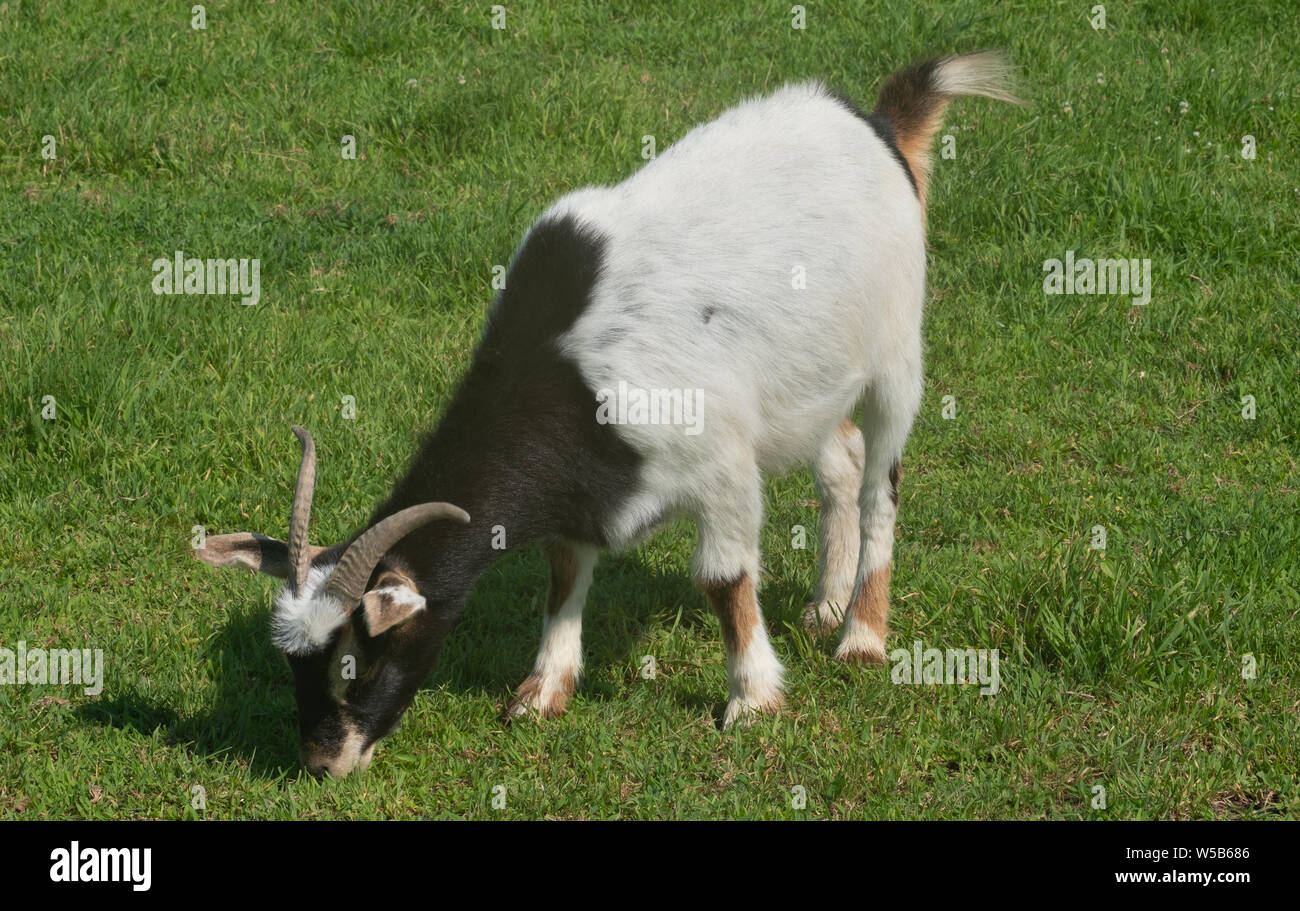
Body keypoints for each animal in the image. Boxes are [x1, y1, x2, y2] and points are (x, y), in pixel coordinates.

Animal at [194, 51, 1019, 777]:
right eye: (293, 665)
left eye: (356, 661)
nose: (322, 762)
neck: (568, 375)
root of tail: (878, 124)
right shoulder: (584, 489)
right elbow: (565, 573)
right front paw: (542, 692)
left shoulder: (720, 464)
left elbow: (724, 580)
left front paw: (752, 700)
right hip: (809, 382)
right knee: (841, 457)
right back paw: (823, 605)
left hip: (896, 354)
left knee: (882, 480)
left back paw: (861, 637)